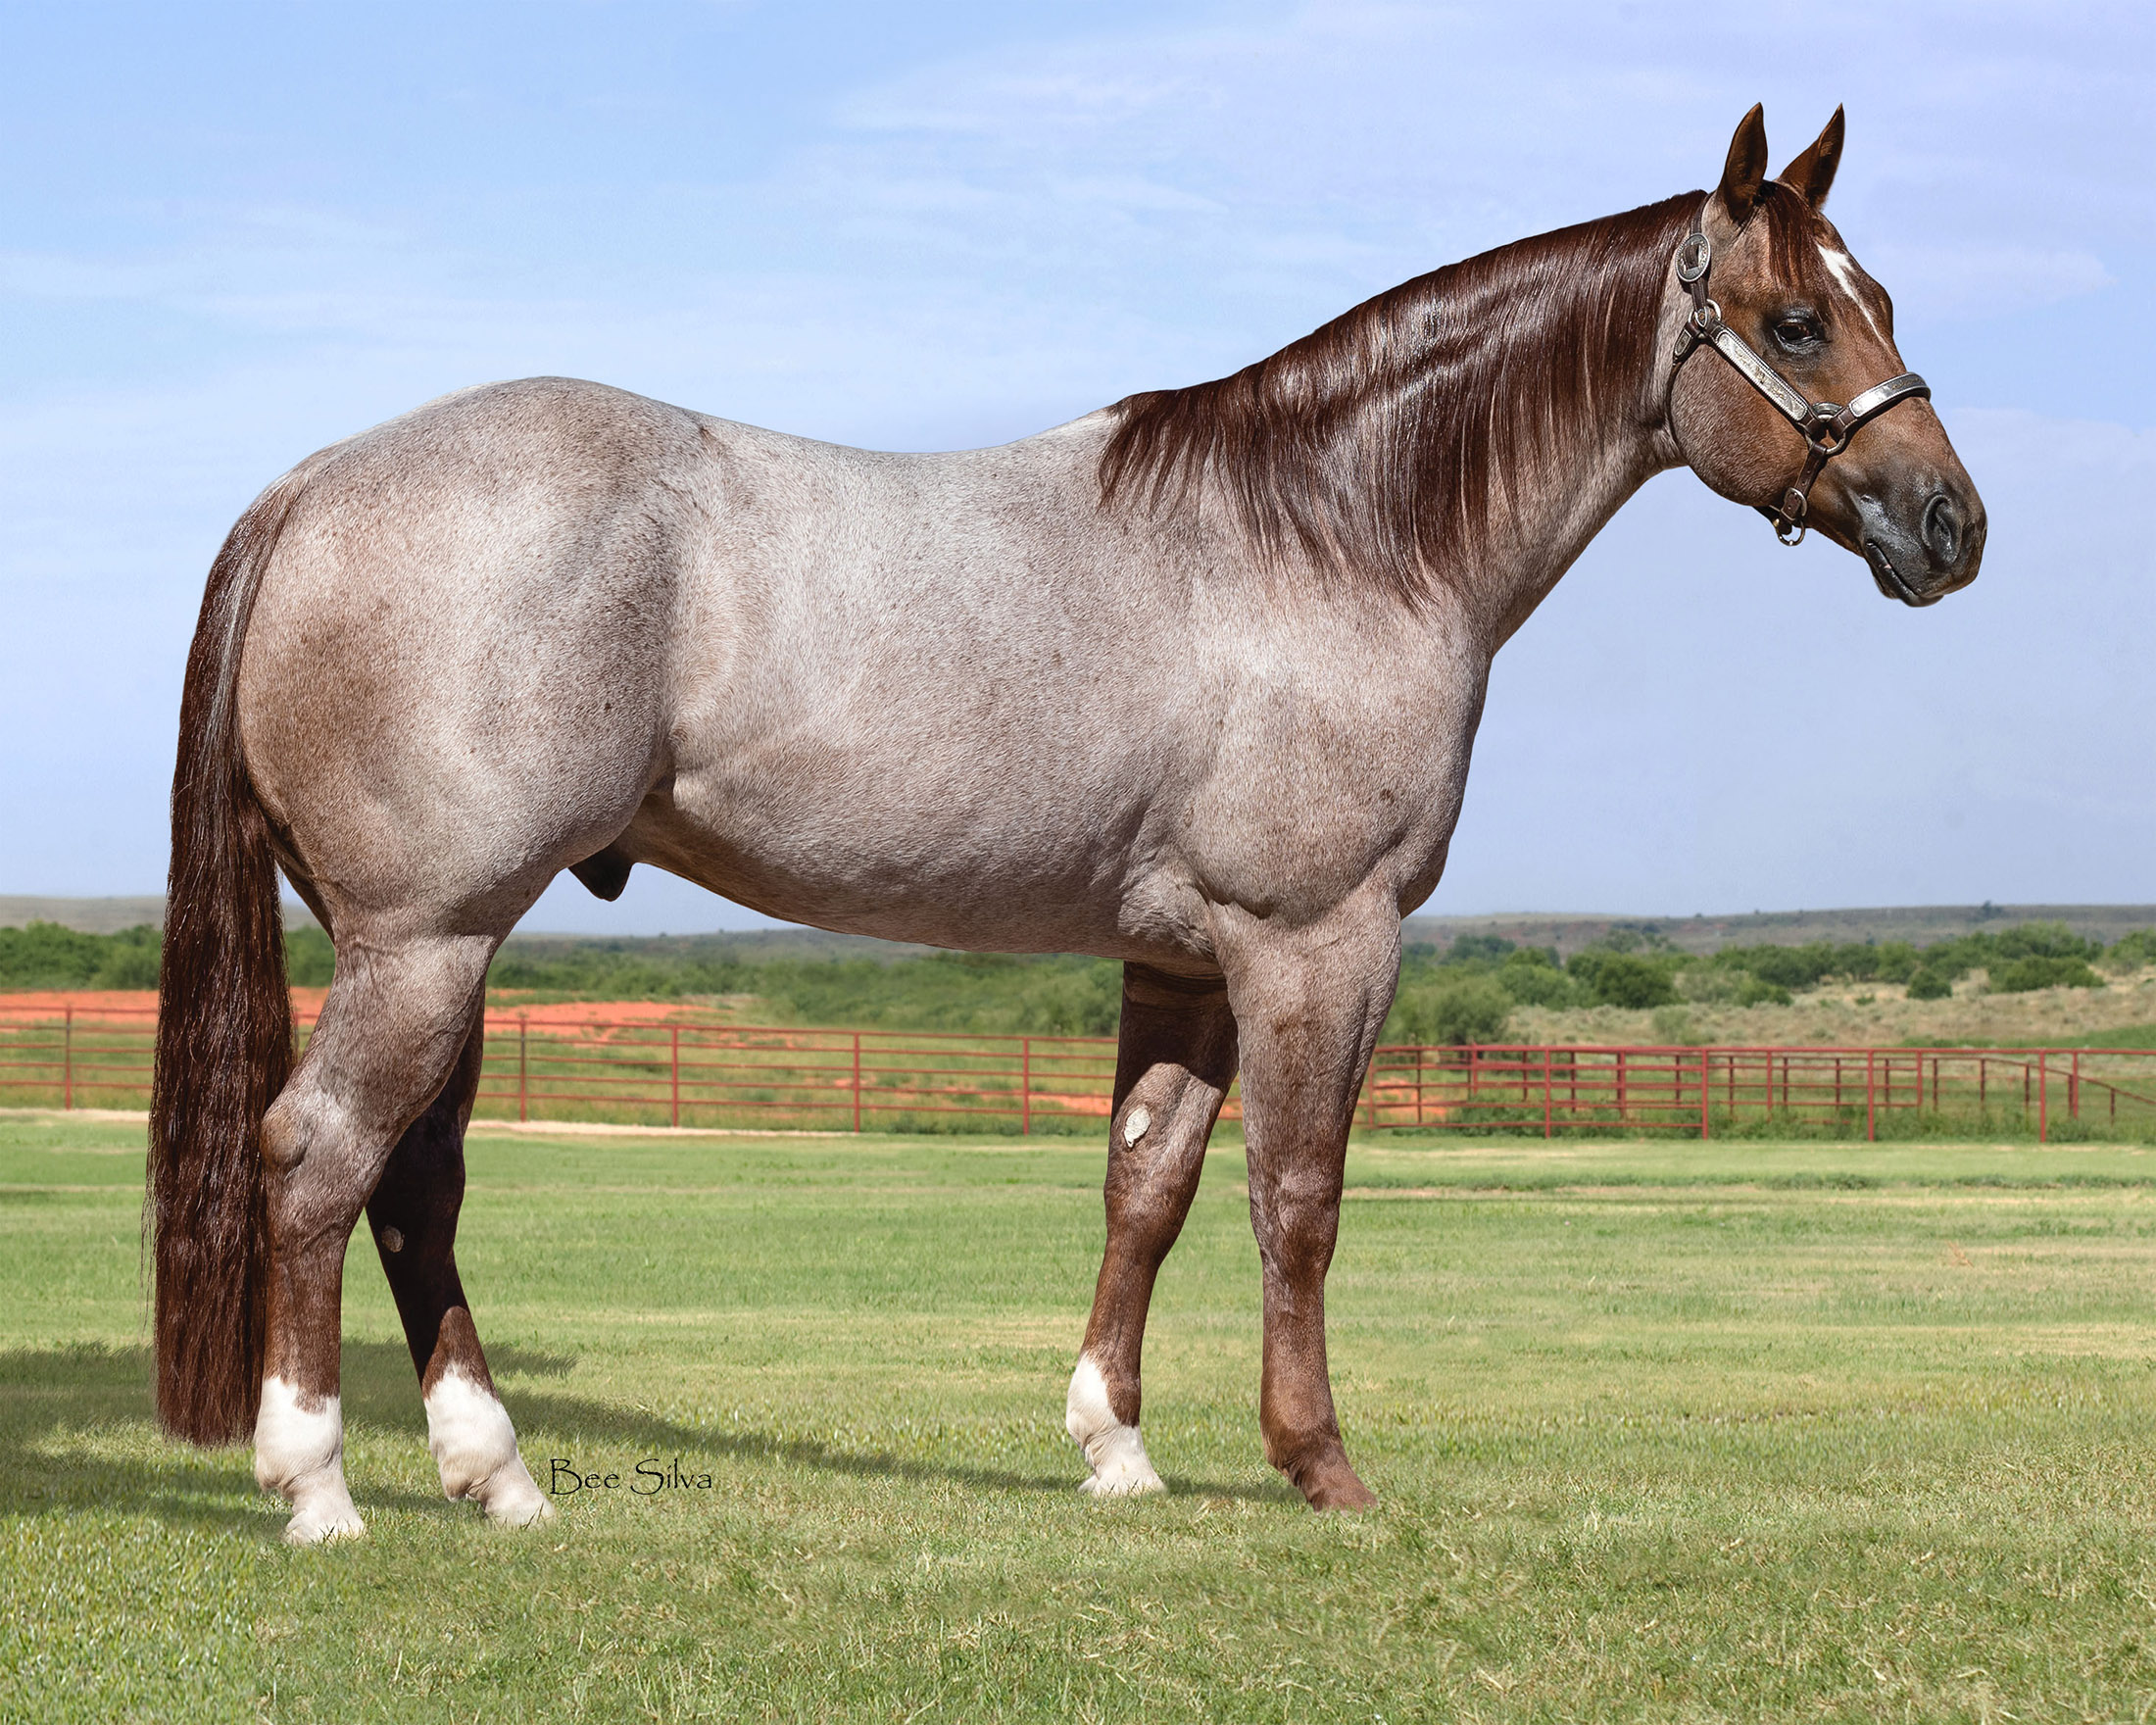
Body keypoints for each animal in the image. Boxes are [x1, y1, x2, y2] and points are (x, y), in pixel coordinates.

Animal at [150, 104, 1983, 1542]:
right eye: (1795, 321)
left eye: (1877, 299)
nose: (1950, 525)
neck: (1329, 535)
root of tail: (313, 483)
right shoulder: (1318, 940)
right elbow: (1298, 1196)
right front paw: (1323, 1469)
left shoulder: (1180, 962)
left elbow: (1146, 1189)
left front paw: (1118, 1451)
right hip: (429, 939)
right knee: (321, 1157)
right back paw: (317, 1486)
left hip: (442, 945)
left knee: (416, 1185)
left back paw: (499, 1476)